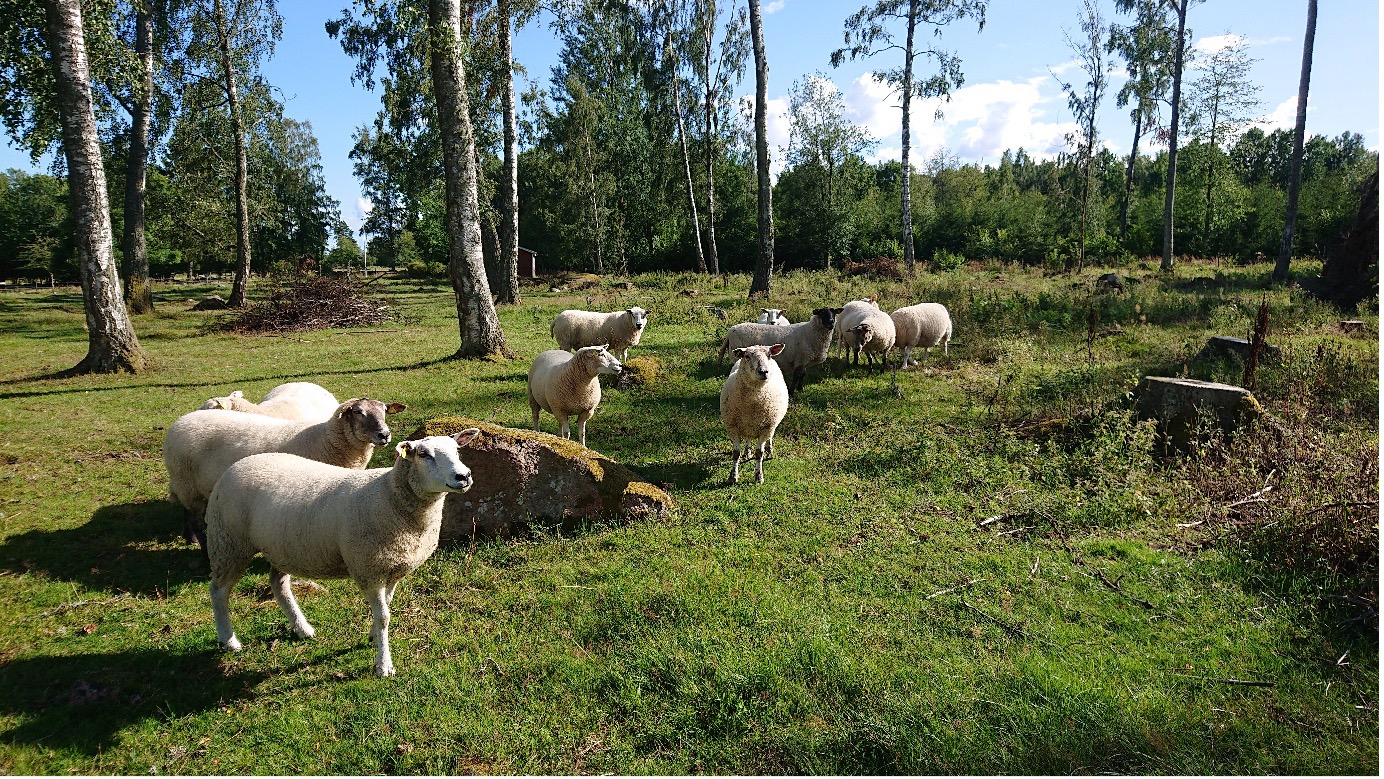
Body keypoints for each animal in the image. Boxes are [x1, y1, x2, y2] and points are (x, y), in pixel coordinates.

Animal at [165, 395, 404, 547]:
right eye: (358, 412)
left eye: (384, 410)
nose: (384, 434)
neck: (325, 440)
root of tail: (180, 421)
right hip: (187, 483)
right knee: (193, 516)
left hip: (189, 485)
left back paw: (189, 537)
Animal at [204, 428, 481, 680]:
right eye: (424, 454)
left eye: (457, 450)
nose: (464, 476)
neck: (388, 496)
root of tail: (236, 466)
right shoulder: (369, 570)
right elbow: (384, 616)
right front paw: (383, 664)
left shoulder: (392, 568)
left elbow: (386, 607)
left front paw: (373, 636)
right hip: (229, 542)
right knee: (218, 590)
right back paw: (229, 640)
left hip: (281, 544)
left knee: (278, 584)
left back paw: (301, 627)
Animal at [719, 344, 786, 484]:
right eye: (747, 356)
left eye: (769, 355)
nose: (763, 371)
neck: (751, 405)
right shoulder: (732, 427)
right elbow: (736, 453)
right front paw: (733, 476)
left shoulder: (767, 427)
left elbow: (759, 453)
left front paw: (759, 476)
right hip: (747, 425)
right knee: (748, 438)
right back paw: (747, 451)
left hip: (771, 425)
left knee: (769, 438)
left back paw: (769, 450)